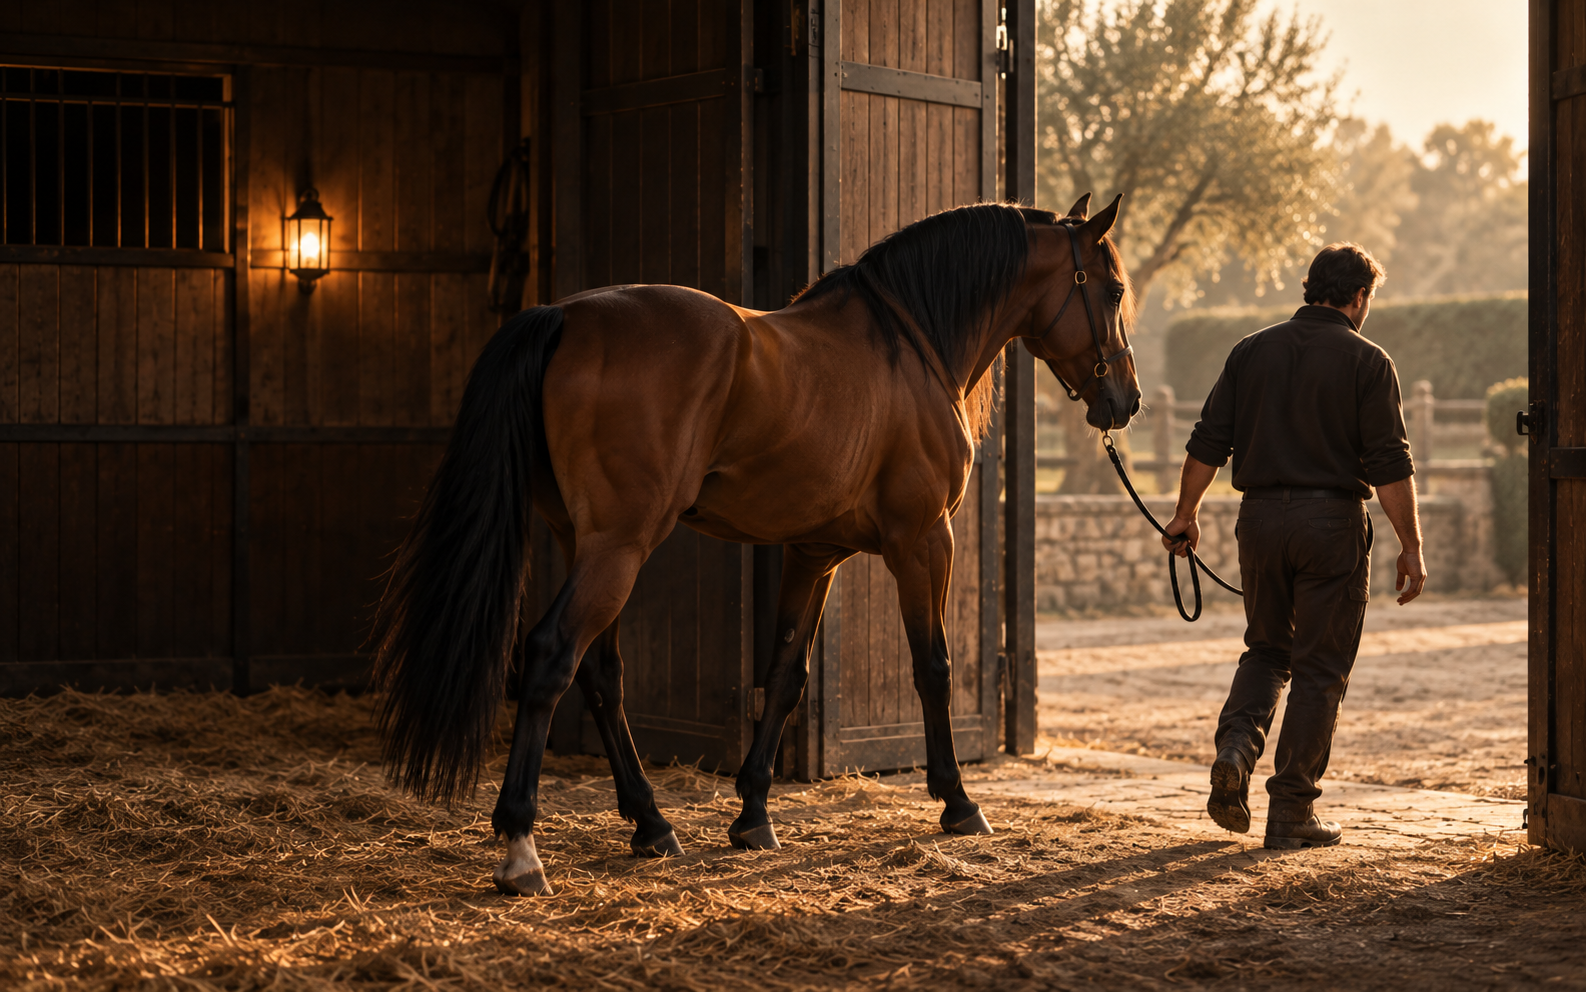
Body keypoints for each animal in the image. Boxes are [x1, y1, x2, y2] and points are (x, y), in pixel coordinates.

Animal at [371, 194, 1141, 896]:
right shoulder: (925, 542)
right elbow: (934, 667)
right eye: (1112, 290)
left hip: (585, 542)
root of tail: (562, 317)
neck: (913, 348)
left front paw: (753, 814)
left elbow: (785, 673)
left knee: (601, 675)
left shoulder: (814, 554)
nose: (1127, 401)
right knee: (552, 656)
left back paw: (651, 824)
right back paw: (522, 848)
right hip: (619, 548)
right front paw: (957, 802)